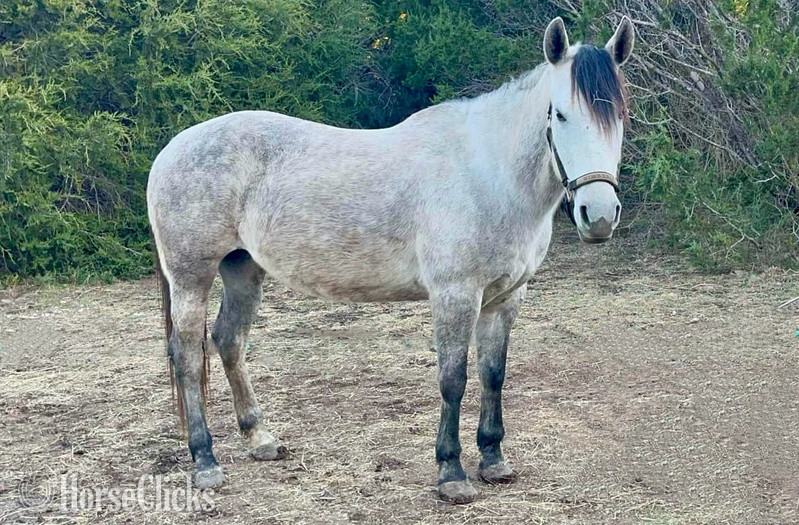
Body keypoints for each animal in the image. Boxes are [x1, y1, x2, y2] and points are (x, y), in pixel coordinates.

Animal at [147, 16, 635, 504]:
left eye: (619, 116)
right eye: (560, 114)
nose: (598, 215)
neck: (488, 173)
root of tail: (173, 149)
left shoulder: (505, 298)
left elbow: (493, 375)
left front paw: (493, 459)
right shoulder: (455, 295)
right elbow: (453, 379)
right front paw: (451, 472)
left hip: (243, 269)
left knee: (229, 340)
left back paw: (260, 439)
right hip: (192, 276)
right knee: (187, 355)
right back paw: (205, 461)